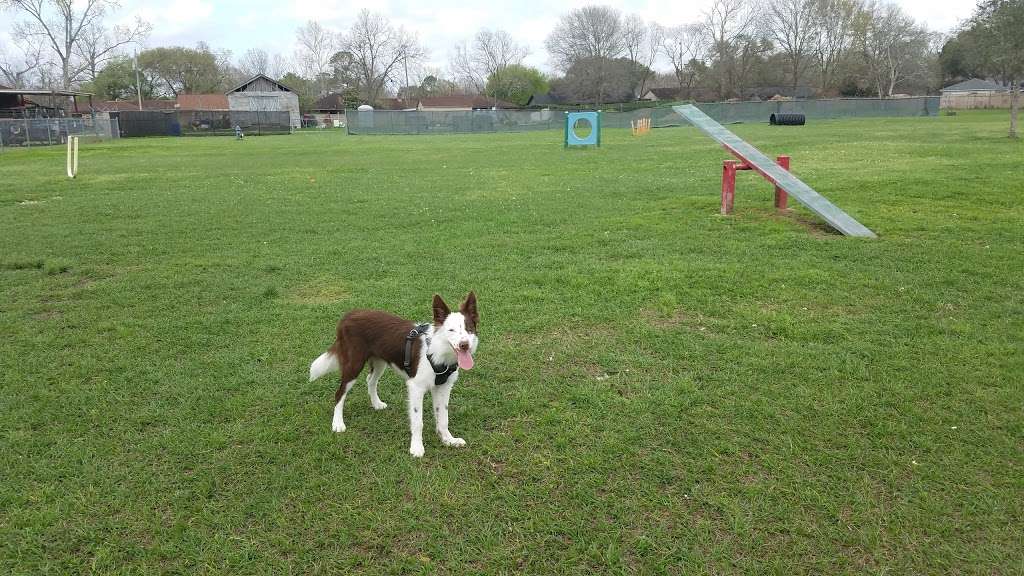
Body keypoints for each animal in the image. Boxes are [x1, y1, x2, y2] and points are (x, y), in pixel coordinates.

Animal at [307, 293, 479, 455]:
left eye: (469, 329)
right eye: (451, 330)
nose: (464, 345)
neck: (438, 351)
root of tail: (349, 315)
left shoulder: (443, 387)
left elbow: (443, 417)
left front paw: (448, 440)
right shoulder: (416, 387)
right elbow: (418, 421)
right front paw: (416, 447)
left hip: (379, 361)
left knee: (370, 380)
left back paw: (376, 403)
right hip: (354, 364)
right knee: (340, 393)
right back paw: (337, 423)